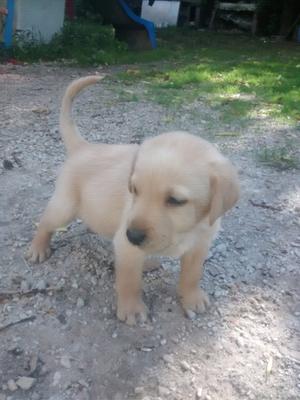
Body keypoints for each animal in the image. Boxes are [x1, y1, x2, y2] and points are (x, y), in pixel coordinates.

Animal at [27, 76, 239, 324]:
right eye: (134, 190)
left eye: (175, 200)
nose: (134, 235)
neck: (185, 231)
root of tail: (84, 147)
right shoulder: (126, 246)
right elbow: (129, 281)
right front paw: (132, 309)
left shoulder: (200, 245)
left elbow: (192, 274)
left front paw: (192, 298)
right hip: (65, 207)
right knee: (45, 223)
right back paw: (38, 248)